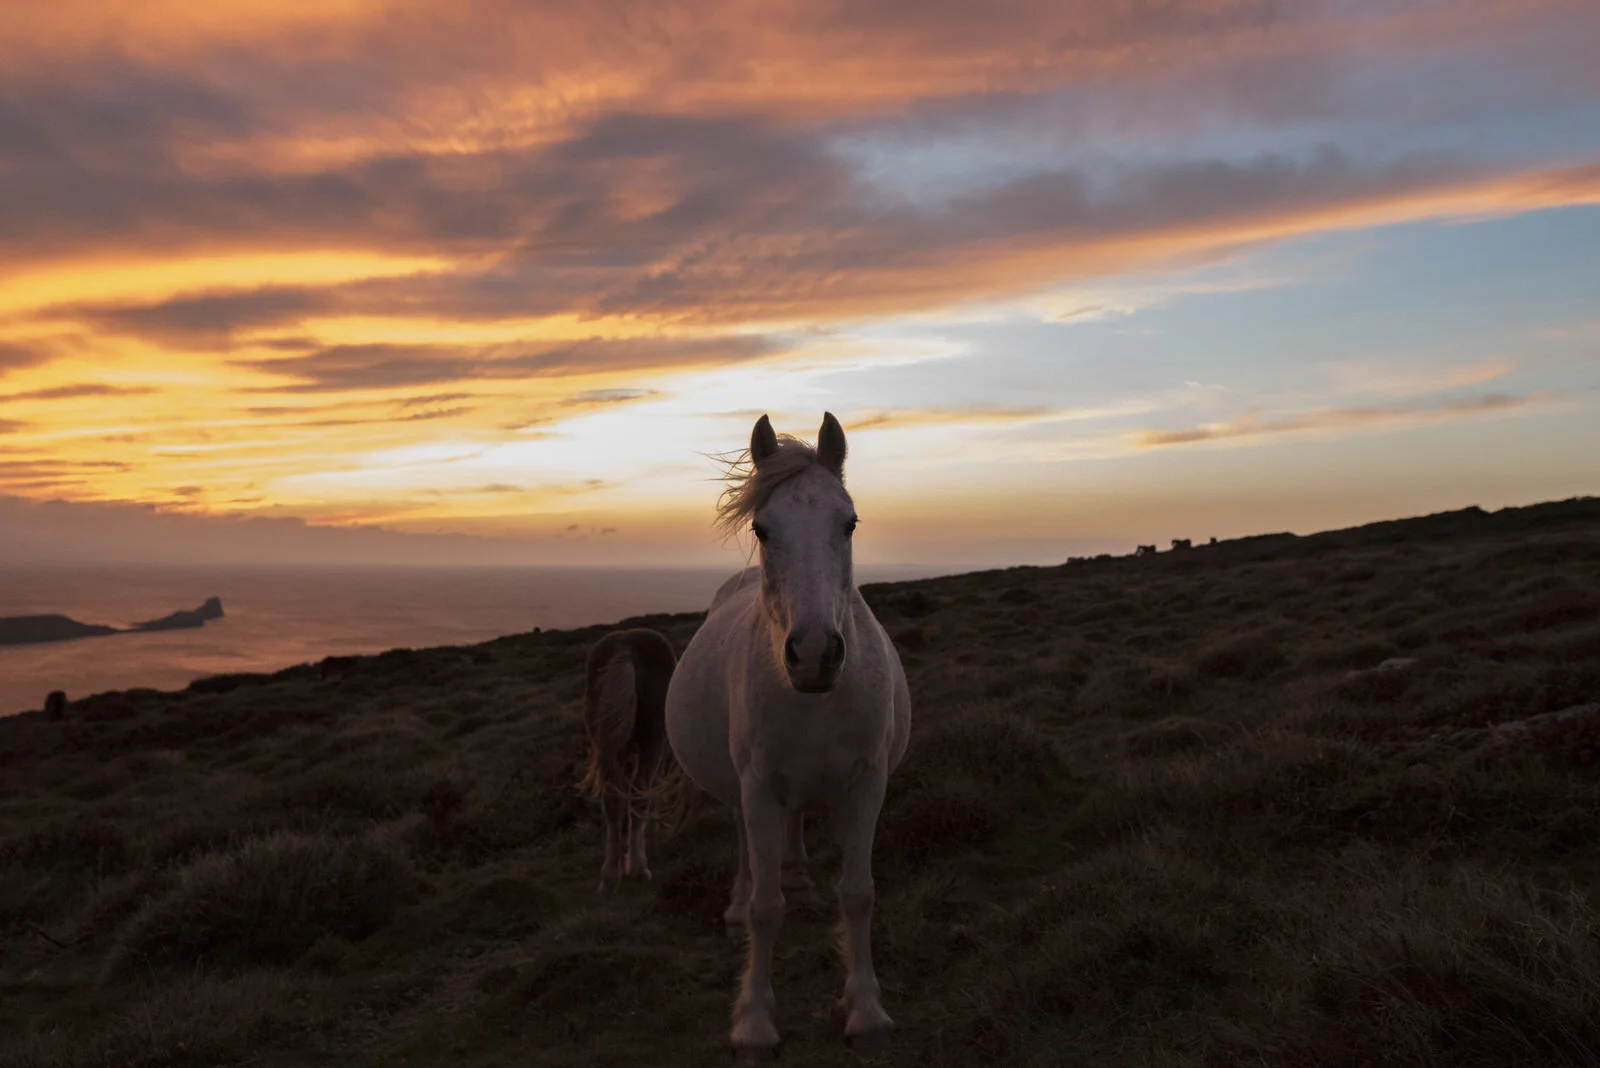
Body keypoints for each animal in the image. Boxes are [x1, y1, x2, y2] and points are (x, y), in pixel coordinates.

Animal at [577, 628, 677, 892]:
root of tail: (626, 649)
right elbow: (650, 793)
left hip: (609, 743)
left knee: (612, 798)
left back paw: (611, 874)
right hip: (651, 741)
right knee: (639, 793)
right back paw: (639, 868)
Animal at [665, 412, 912, 1058]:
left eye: (849, 523)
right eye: (762, 527)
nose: (815, 654)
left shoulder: (866, 784)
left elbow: (858, 892)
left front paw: (867, 1011)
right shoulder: (757, 788)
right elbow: (765, 908)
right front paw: (754, 1022)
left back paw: (800, 878)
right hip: (740, 792)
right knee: (747, 851)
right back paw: (737, 903)